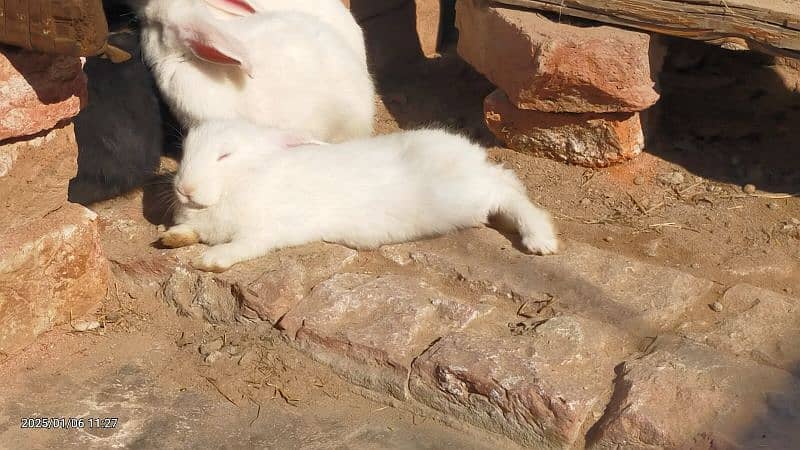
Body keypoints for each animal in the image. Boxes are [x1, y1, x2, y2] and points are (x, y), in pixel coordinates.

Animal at [156, 119, 556, 272]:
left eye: (225, 155)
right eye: (186, 149)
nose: (184, 189)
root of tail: (470, 156)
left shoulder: (265, 233)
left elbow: (242, 247)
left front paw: (210, 261)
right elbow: (188, 232)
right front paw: (170, 238)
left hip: (464, 195)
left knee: (507, 189)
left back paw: (541, 241)